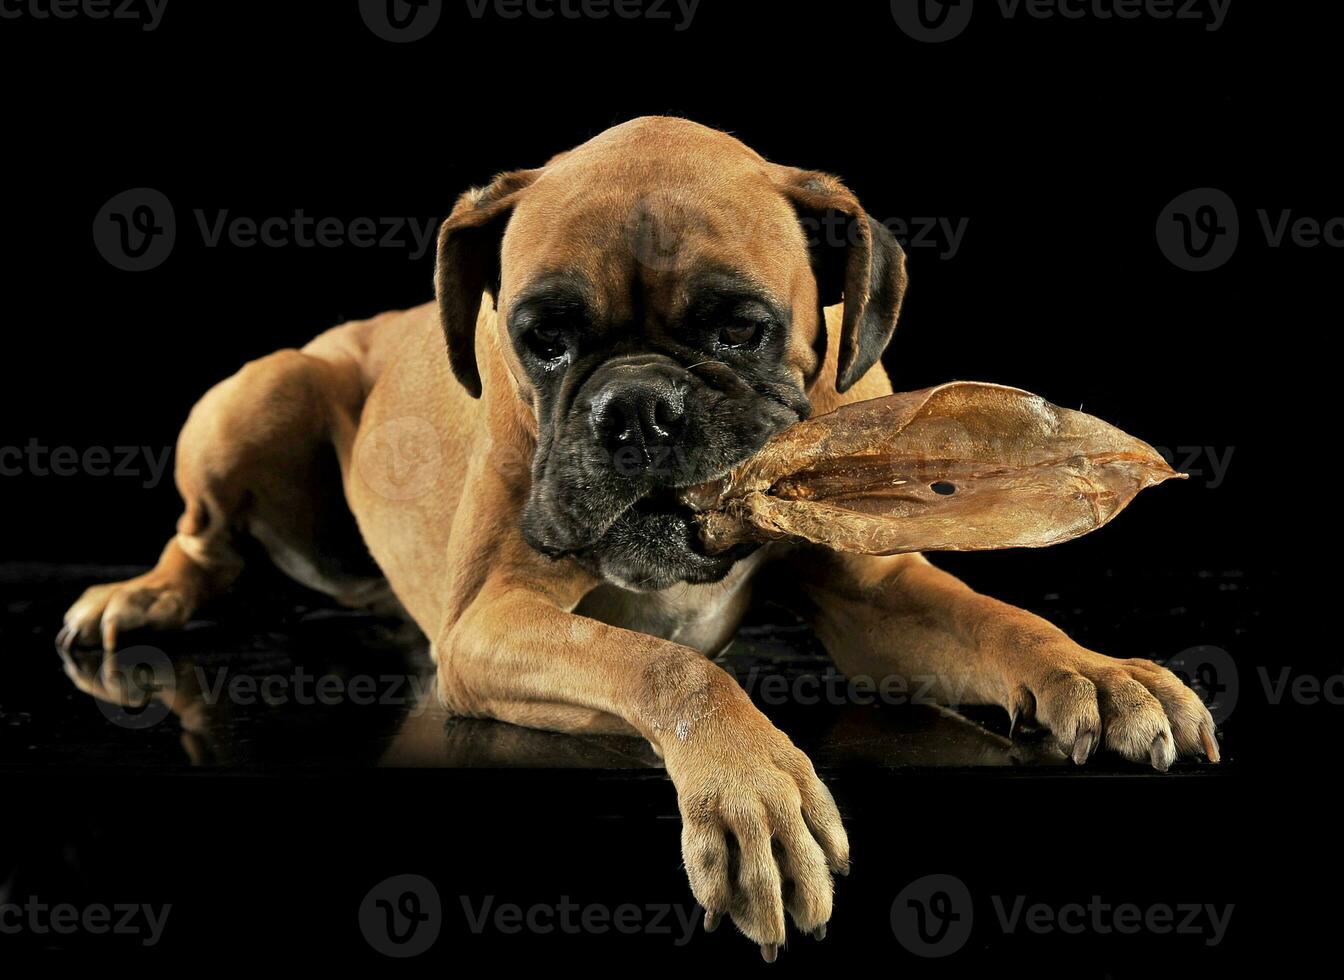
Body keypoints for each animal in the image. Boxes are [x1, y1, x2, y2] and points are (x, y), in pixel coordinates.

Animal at [60, 114, 1220, 957]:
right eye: (542, 337)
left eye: (740, 328)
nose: (637, 409)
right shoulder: (492, 626)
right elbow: (671, 667)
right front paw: (752, 790)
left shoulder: (876, 600)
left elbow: (1001, 620)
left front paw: (1100, 672)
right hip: (263, 390)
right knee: (204, 538)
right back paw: (141, 596)